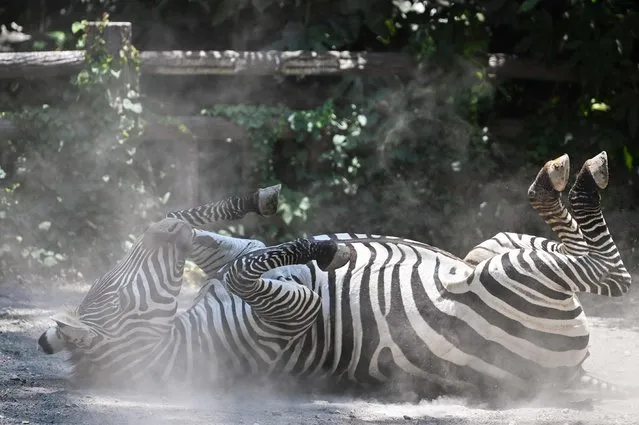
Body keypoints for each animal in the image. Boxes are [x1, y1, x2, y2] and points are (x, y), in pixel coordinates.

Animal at [37, 152, 632, 400]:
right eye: (116, 294)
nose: (159, 231)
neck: (181, 341)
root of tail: (573, 376)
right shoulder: (291, 317)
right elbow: (243, 269)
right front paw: (324, 246)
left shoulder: (245, 264)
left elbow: (229, 251)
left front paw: (233, 211)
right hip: (515, 276)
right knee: (610, 276)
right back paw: (571, 178)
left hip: (495, 247)